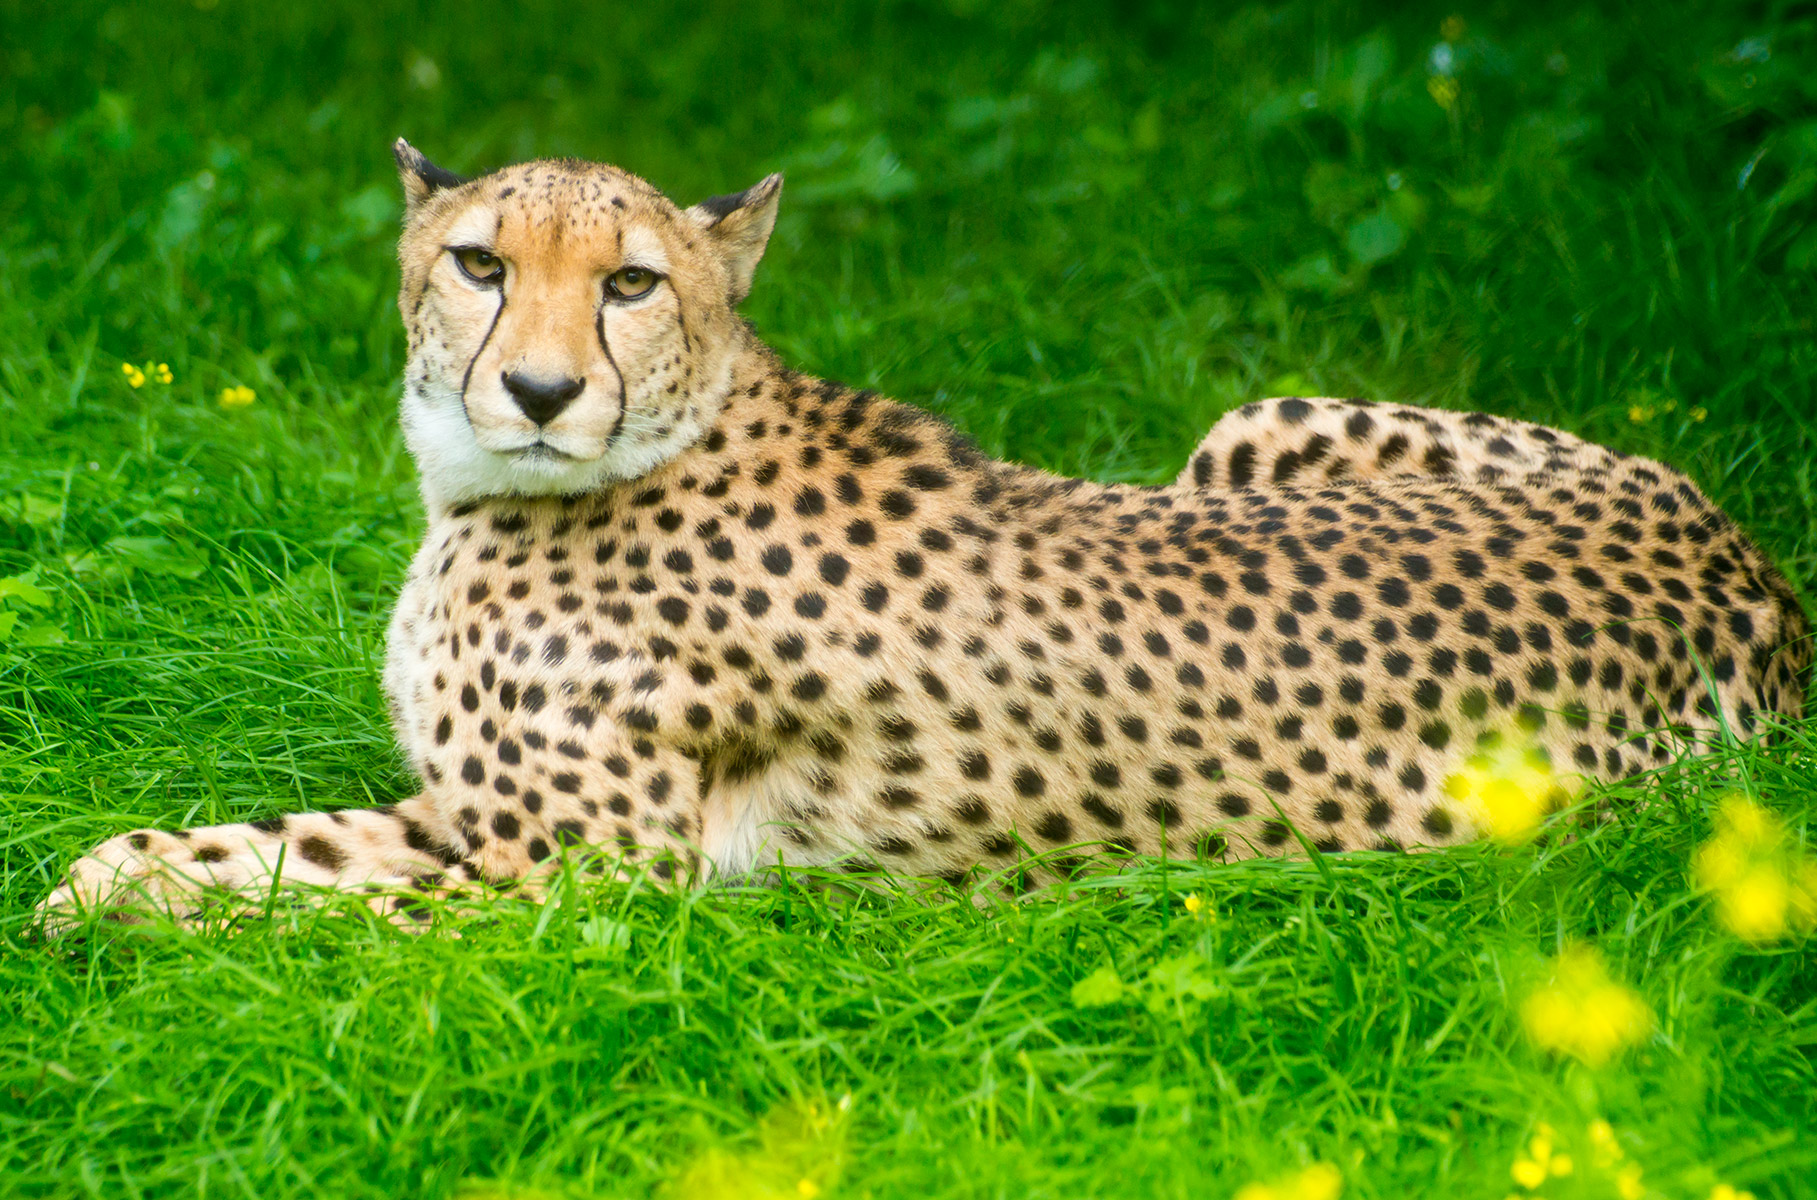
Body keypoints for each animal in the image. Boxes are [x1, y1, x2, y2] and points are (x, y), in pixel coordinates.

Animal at [39, 142, 1802, 927]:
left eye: (630, 282)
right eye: (479, 262)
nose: (538, 390)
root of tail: (1755, 577)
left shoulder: (585, 879)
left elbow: (319, 906)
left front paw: (147, 933)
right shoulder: (472, 817)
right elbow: (254, 846)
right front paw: (96, 885)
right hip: (1244, 431)